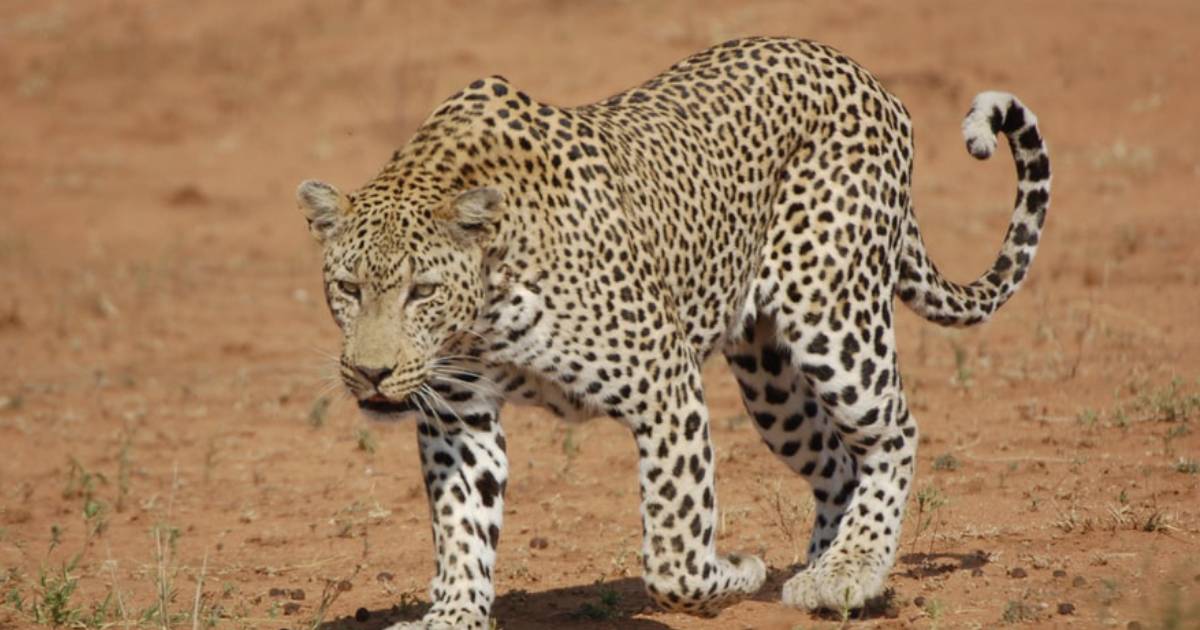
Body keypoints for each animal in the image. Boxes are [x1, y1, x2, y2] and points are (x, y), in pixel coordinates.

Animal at [295, 35, 1046, 628]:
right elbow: (461, 527)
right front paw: (453, 614)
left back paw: (849, 570)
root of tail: (865, 77)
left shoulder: (664, 381)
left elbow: (674, 547)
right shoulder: (457, 415)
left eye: (421, 292)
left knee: (893, 433)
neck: (485, 306)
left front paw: (735, 571)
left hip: (834, 319)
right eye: (348, 289)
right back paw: (824, 568)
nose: (370, 373)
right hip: (771, 383)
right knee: (836, 462)